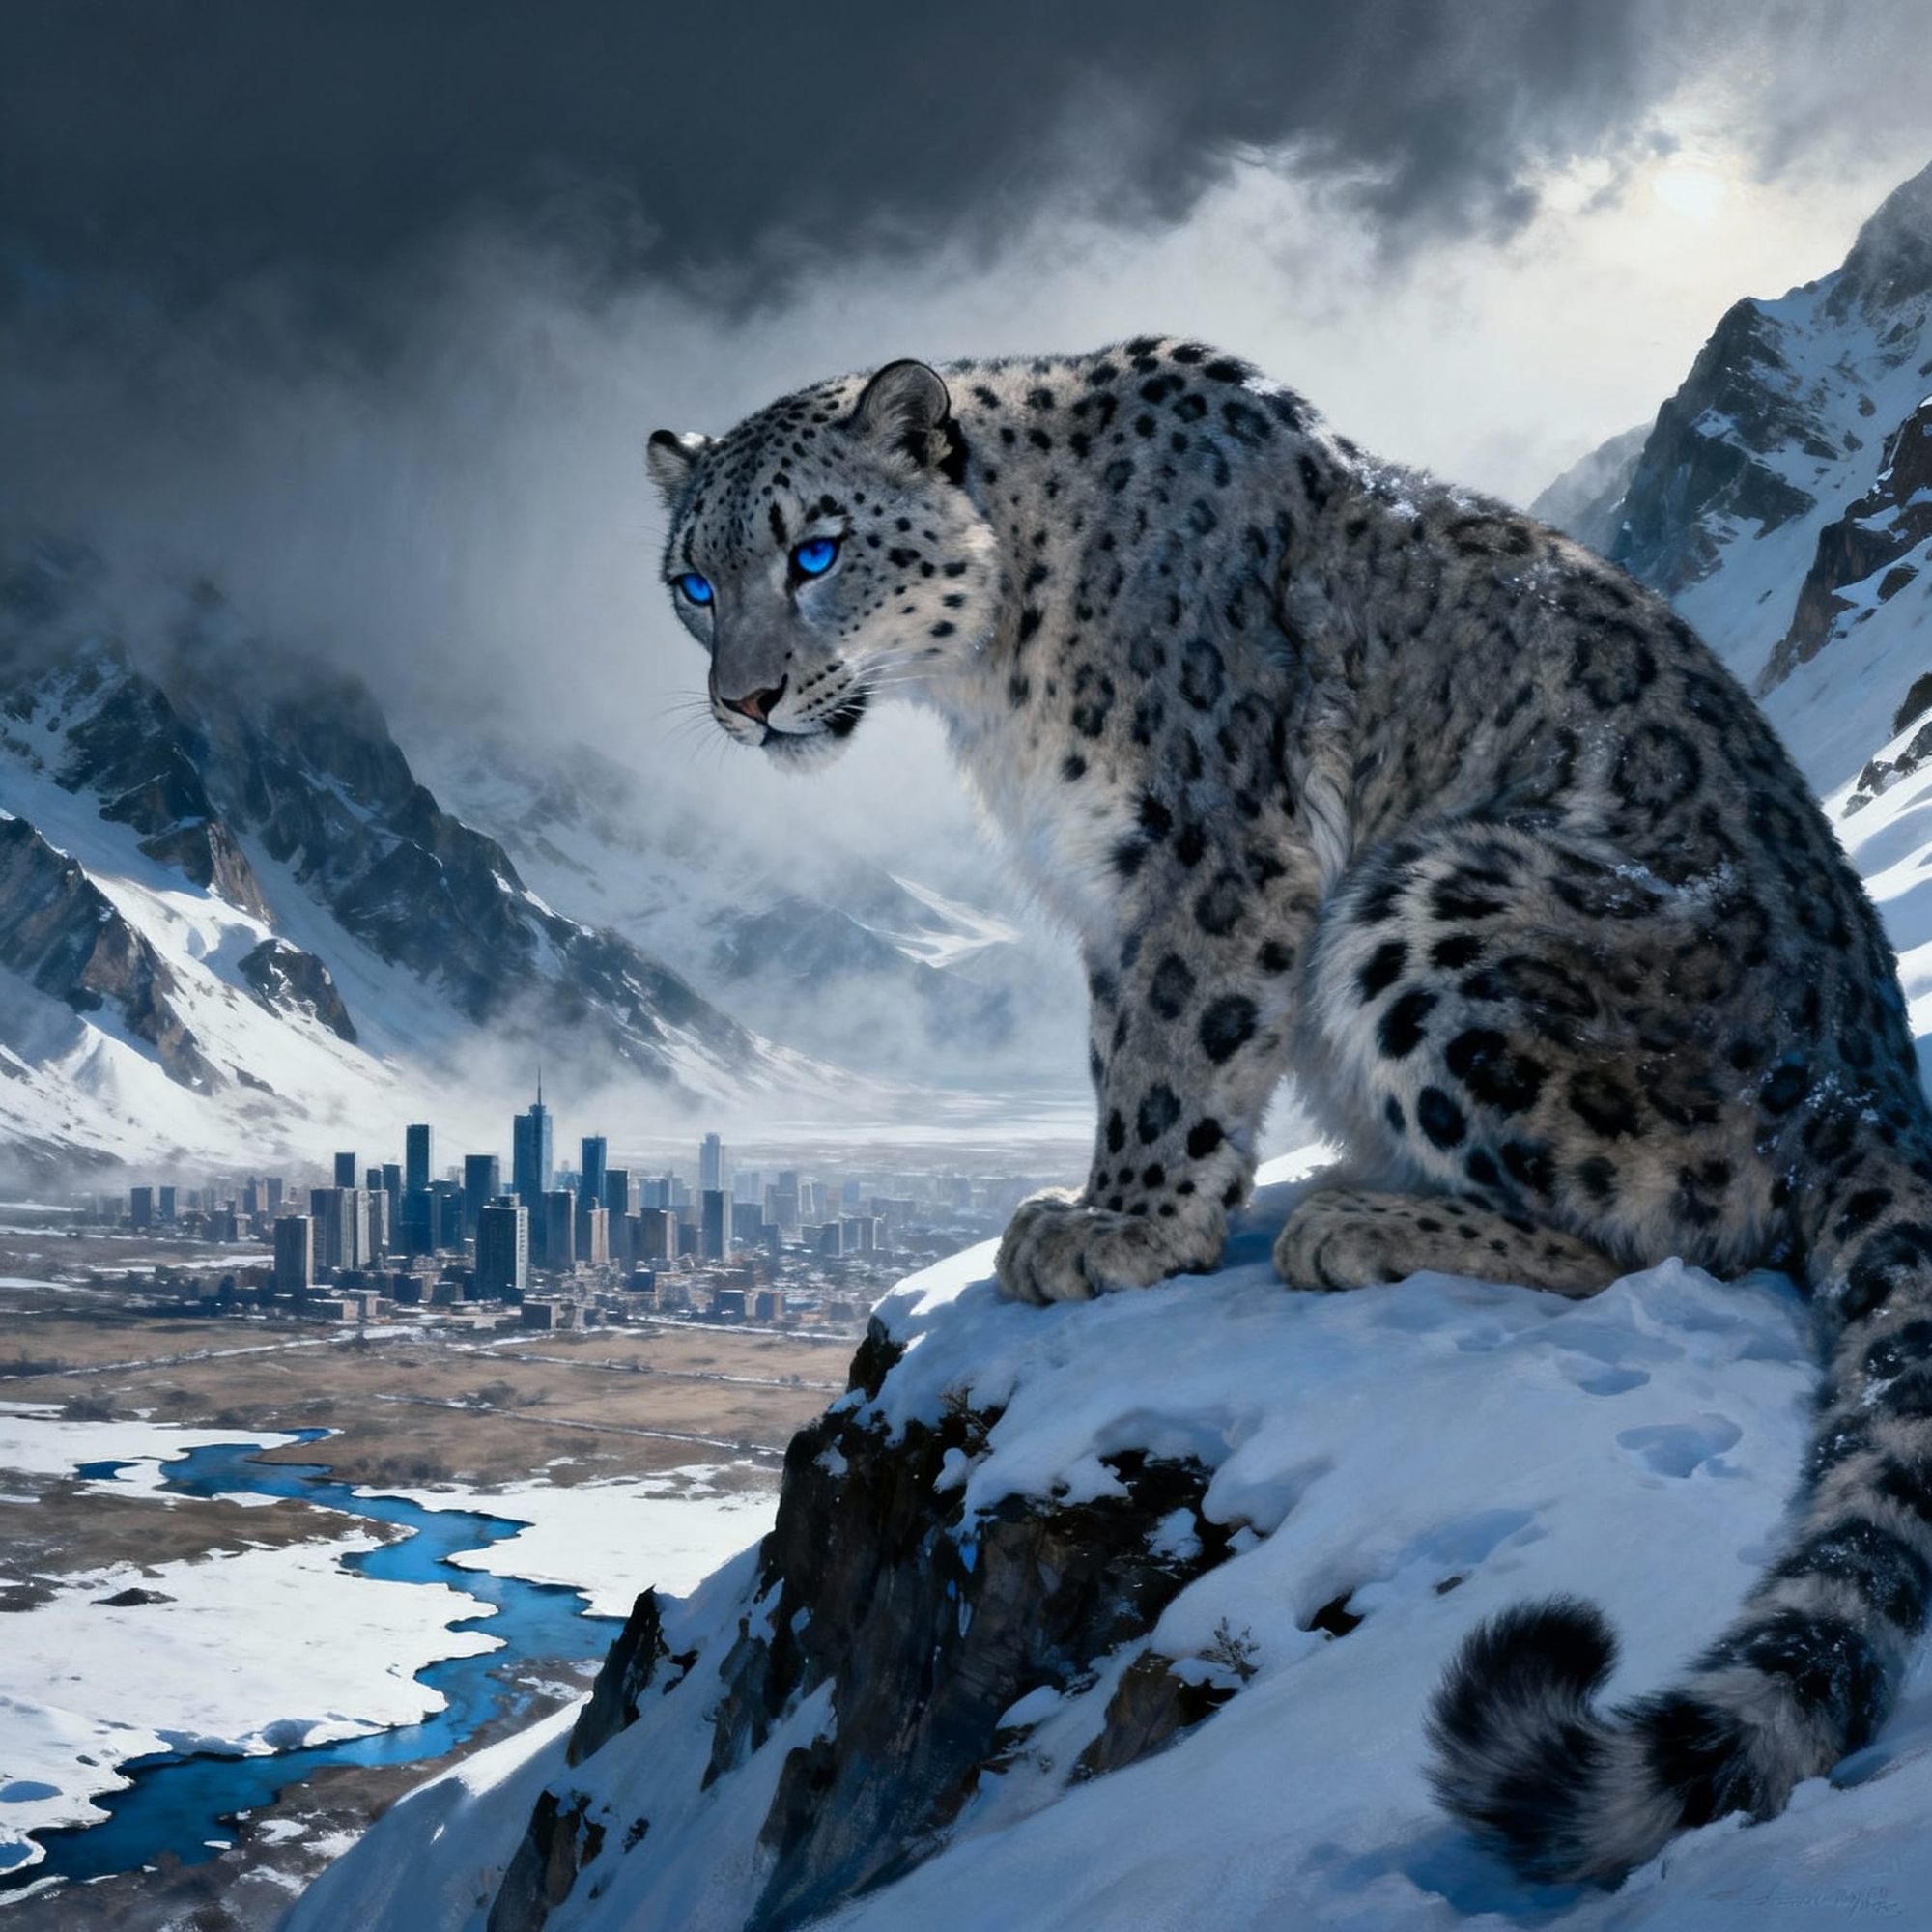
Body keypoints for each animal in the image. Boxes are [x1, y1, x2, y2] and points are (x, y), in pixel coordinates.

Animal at [646, 338, 1932, 1884]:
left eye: (817, 551)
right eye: (693, 580)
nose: (746, 699)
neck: (997, 675)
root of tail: (1872, 1080)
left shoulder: (1208, 841)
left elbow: (1177, 1039)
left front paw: (1123, 1230)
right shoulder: (1111, 884)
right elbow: (1119, 1039)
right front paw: (1110, 1204)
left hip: (1434, 901)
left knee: (1668, 1227)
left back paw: (1357, 1220)